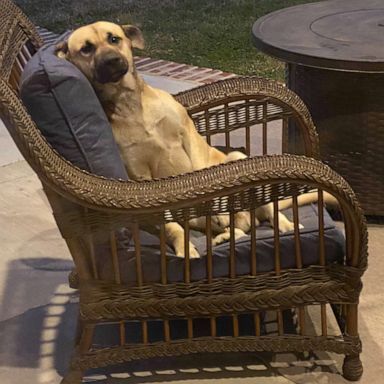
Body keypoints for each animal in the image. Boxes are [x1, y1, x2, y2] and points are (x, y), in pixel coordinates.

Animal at [55, 22, 338, 260]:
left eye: (114, 39)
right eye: (86, 48)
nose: (113, 60)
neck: (130, 106)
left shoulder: (186, 139)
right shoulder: (139, 176)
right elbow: (170, 225)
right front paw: (184, 246)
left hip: (238, 158)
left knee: (271, 211)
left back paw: (285, 224)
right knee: (238, 230)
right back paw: (222, 234)